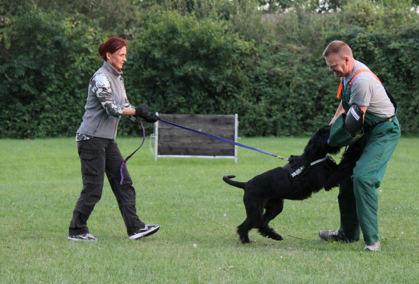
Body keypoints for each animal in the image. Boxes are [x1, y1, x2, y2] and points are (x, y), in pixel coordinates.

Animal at [223, 125, 360, 243]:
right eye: (323, 133)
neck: (312, 157)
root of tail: (246, 184)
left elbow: (342, 165)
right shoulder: (328, 181)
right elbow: (345, 167)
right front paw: (355, 156)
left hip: (275, 207)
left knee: (262, 223)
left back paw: (274, 235)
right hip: (255, 210)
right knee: (245, 225)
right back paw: (246, 240)